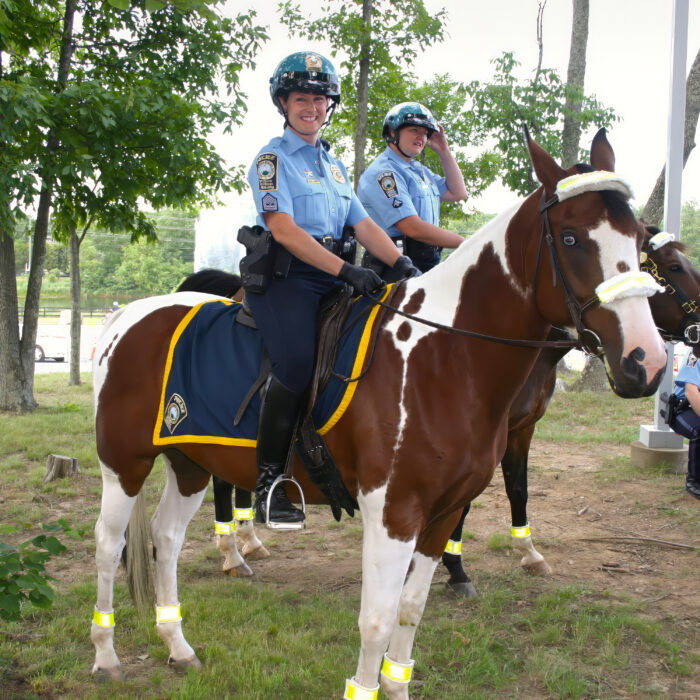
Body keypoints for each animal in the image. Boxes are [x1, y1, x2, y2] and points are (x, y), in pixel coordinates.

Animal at [90, 130, 664, 696]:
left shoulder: (443, 514)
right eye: (570, 239)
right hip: (124, 466)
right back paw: (107, 656)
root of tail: (126, 316)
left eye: (638, 239)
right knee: (108, 544)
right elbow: (376, 621)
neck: (446, 358)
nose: (648, 362)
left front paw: (397, 683)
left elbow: (410, 612)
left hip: (190, 463)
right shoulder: (394, 515)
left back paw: (177, 645)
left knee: (166, 538)